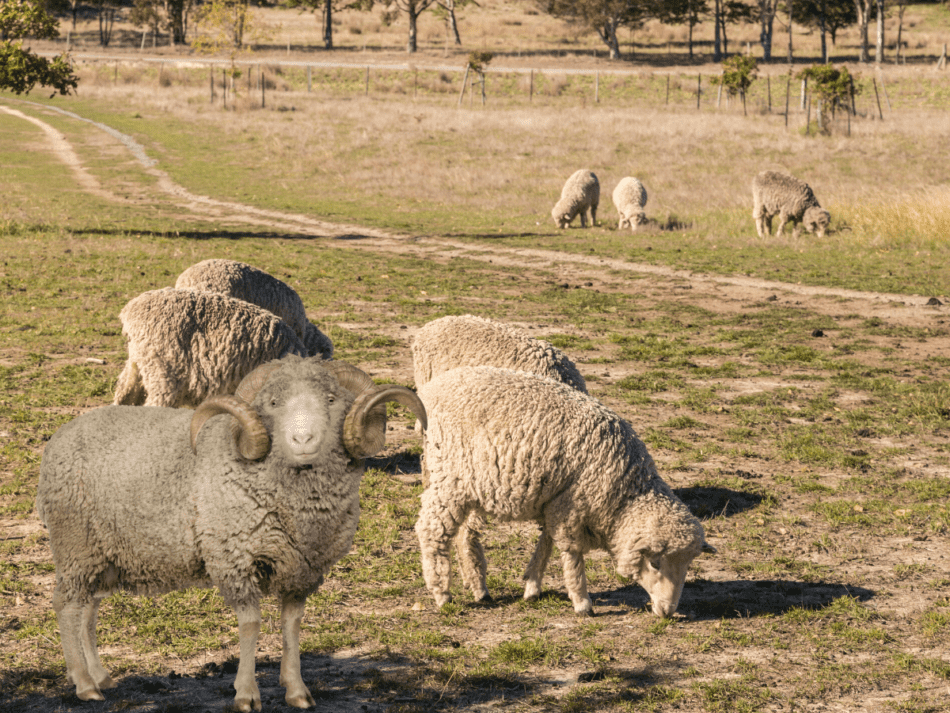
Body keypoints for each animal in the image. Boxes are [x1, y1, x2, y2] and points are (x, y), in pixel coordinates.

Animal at [38, 354, 428, 708]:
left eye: (331, 400)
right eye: (273, 403)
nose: (303, 439)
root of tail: (59, 438)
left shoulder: (301, 569)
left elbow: (292, 626)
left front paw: (297, 690)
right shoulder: (234, 558)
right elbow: (251, 625)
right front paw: (246, 693)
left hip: (103, 553)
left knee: (88, 610)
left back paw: (100, 676)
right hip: (75, 543)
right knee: (66, 606)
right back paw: (84, 684)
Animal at [416, 368, 712, 616]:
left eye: (688, 565)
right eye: (655, 564)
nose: (668, 611)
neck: (624, 494)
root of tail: (432, 388)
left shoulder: (555, 502)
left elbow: (546, 544)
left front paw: (532, 586)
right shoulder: (571, 505)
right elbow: (572, 554)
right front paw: (582, 602)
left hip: (471, 487)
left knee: (465, 535)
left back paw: (479, 588)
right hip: (450, 479)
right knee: (432, 531)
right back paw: (442, 594)